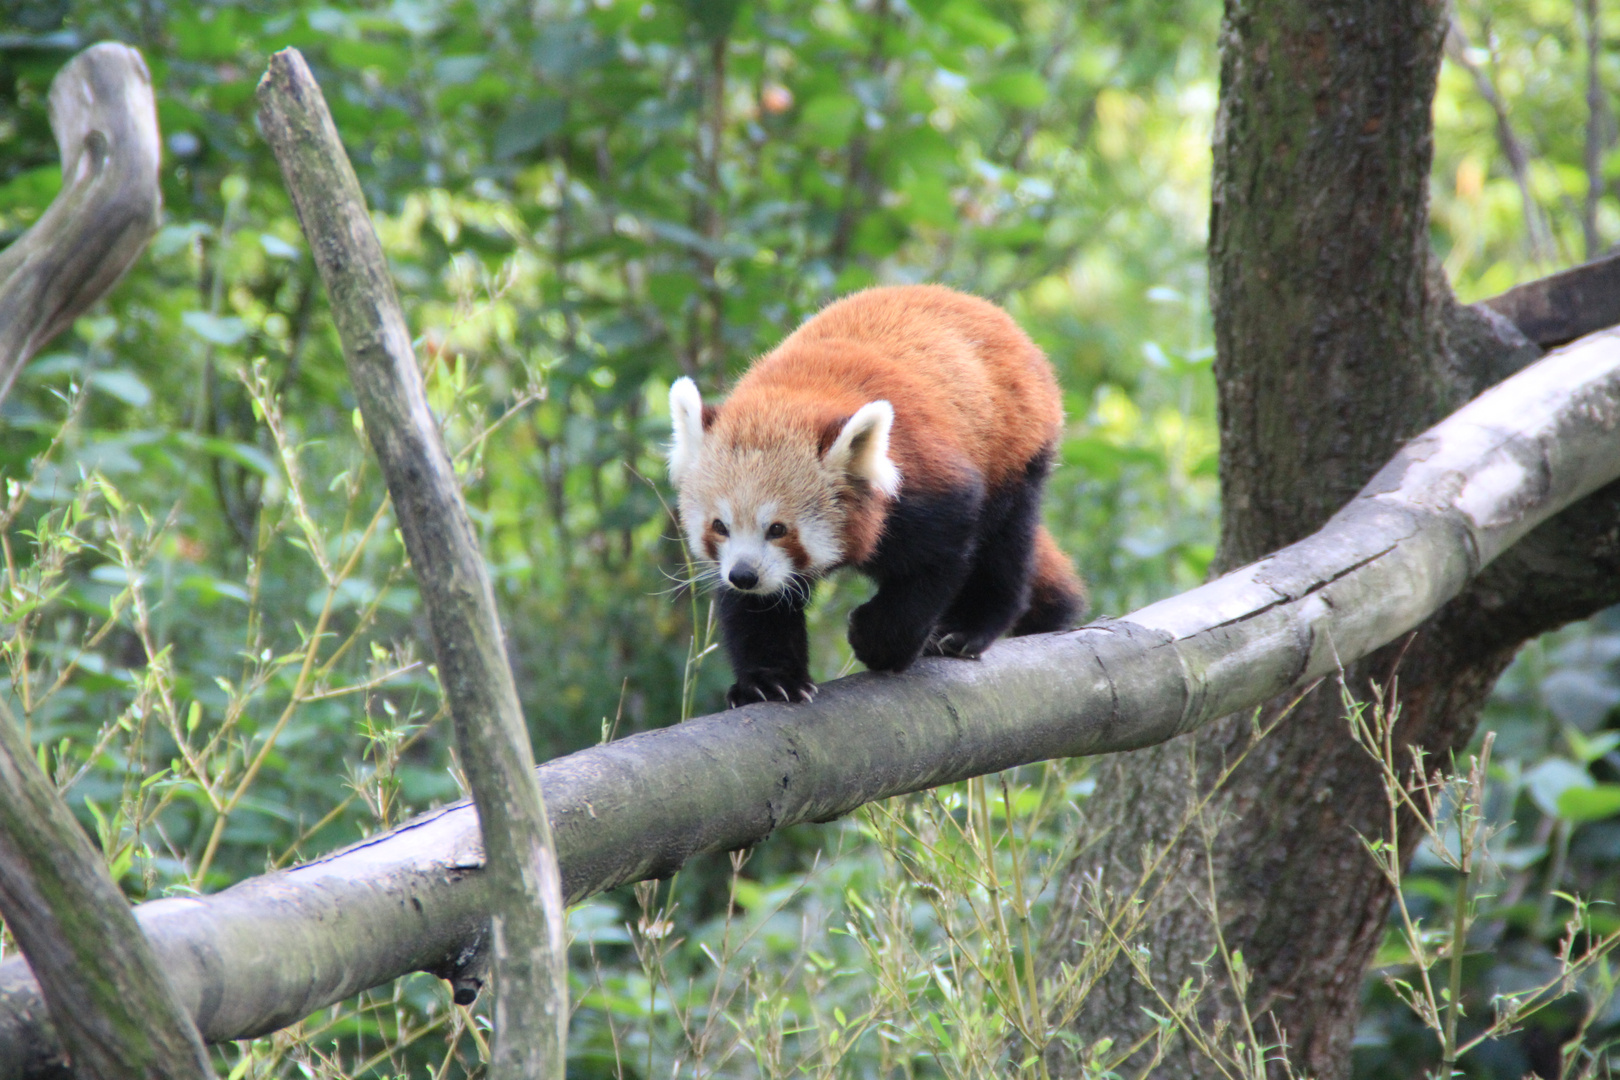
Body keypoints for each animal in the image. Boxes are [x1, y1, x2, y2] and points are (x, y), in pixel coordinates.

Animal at [670, 284, 1088, 709]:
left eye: (778, 529)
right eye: (719, 526)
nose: (744, 575)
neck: (794, 395)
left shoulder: (928, 486)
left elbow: (933, 566)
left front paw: (880, 641)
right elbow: (759, 610)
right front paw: (770, 680)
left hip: (1016, 445)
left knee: (1006, 542)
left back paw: (969, 628)